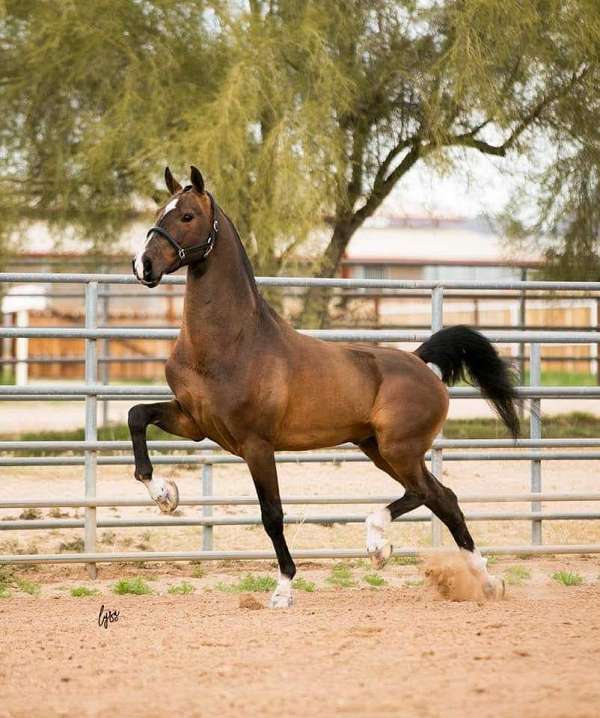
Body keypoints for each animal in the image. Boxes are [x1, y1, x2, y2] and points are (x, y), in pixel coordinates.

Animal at [130, 165, 519, 608]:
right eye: (160, 211)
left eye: (187, 216)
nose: (142, 265)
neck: (230, 343)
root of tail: (422, 363)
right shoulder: (195, 422)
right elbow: (136, 417)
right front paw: (165, 495)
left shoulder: (256, 445)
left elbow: (272, 515)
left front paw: (283, 589)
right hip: (377, 448)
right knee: (444, 499)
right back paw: (486, 582)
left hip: (398, 449)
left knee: (426, 494)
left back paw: (379, 546)